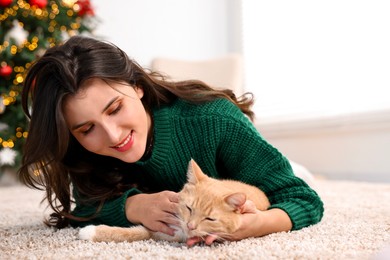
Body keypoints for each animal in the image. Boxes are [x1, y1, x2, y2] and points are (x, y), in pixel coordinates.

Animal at [77, 158, 270, 244]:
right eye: (189, 208)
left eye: (209, 219)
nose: (190, 226)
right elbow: (133, 233)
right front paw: (90, 231)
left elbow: (137, 233)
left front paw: (88, 232)